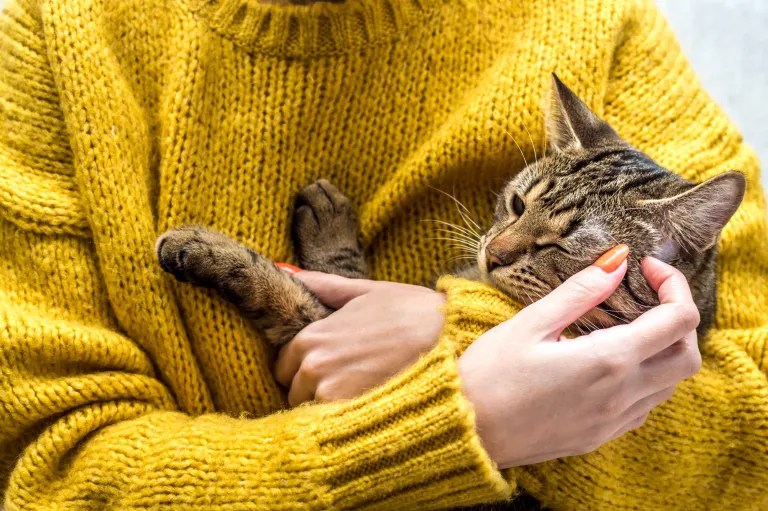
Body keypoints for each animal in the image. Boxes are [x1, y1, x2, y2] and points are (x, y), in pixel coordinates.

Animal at [154, 75, 744, 348]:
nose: (494, 253)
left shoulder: (322, 325)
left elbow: (290, 289)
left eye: (561, 244)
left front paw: (204, 248)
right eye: (516, 204)